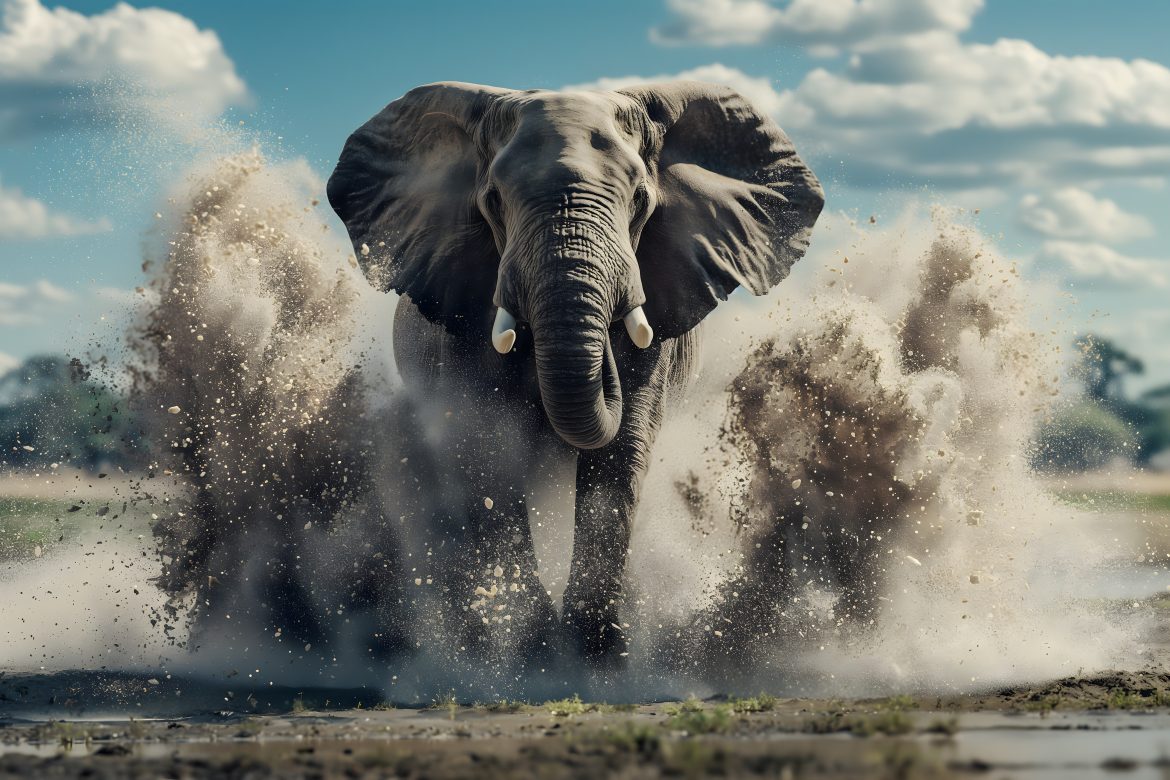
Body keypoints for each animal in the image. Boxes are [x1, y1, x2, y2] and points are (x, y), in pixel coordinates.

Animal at [327, 80, 824, 668]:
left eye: (640, 199)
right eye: (493, 200)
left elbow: (619, 451)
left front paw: (598, 652)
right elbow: (491, 440)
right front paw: (532, 648)